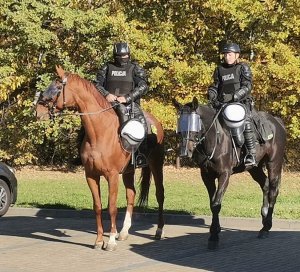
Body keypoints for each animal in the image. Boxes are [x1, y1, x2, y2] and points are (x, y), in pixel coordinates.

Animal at [36, 66, 166, 251]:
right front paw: (99, 241)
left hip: (156, 164)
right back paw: (124, 232)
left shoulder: (112, 176)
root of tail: (156, 123)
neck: (100, 132)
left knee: (160, 194)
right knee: (131, 194)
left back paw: (159, 230)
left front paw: (110, 241)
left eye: (57, 87)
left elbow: (111, 207)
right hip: (128, 172)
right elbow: (97, 207)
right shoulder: (91, 175)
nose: (38, 111)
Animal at [175, 96, 288, 250]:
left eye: (194, 123)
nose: (185, 152)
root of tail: (277, 122)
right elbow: (212, 203)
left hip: (273, 163)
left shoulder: (224, 175)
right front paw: (215, 230)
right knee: (265, 185)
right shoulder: (207, 176)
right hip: (254, 167)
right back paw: (264, 218)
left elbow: (216, 204)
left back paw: (266, 227)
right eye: (180, 124)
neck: (215, 138)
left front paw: (214, 237)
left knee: (273, 192)